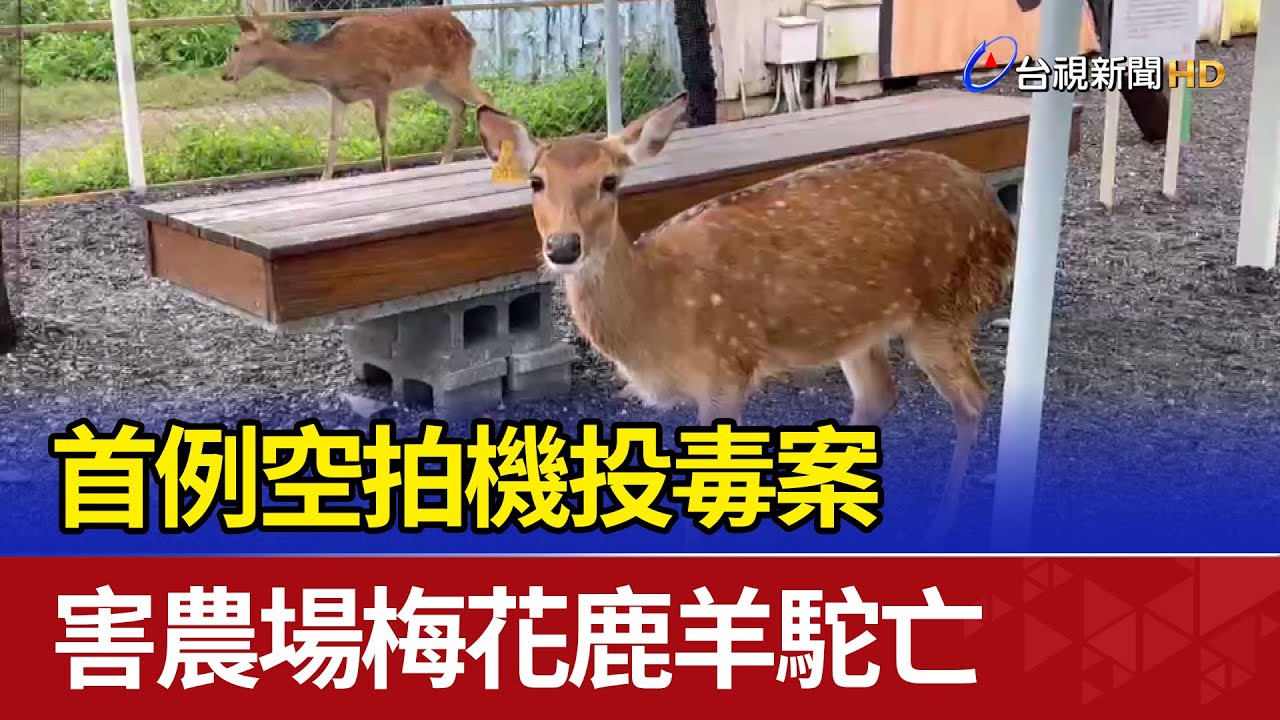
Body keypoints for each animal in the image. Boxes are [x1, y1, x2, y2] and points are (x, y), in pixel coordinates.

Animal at [222, 2, 494, 181]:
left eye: (236, 47)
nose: (225, 75)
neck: (331, 63)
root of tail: (470, 35)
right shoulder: (338, 97)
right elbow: (333, 136)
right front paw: (323, 179)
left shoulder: (380, 84)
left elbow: (382, 132)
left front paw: (387, 170)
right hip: (432, 82)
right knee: (459, 106)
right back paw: (444, 162)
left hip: (455, 70)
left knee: (485, 97)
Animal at [475, 93, 1017, 546]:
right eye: (536, 182)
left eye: (610, 181)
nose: (564, 246)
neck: (658, 314)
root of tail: (998, 219)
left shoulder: (725, 366)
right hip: (859, 327)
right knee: (880, 395)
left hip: (942, 308)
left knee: (972, 398)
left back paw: (941, 527)